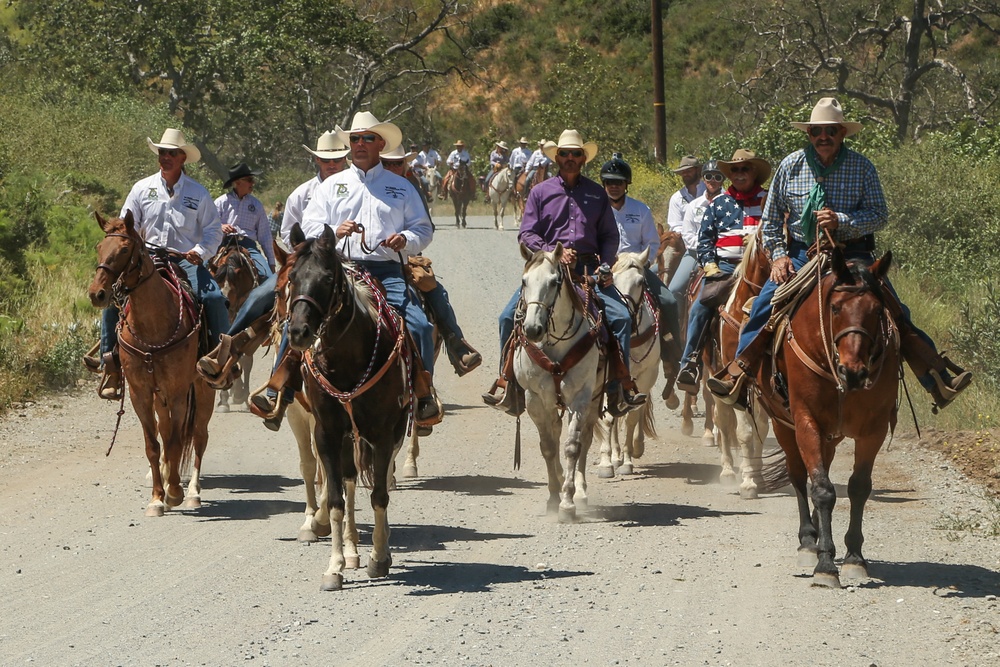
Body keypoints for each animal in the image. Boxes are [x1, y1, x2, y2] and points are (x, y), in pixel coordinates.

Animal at [89, 213, 216, 516]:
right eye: (100, 247)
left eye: (124, 249)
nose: (97, 293)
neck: (153, 326)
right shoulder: (141, 393)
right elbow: (153, 444)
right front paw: (158, 497)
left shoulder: (178, 391)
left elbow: (176, 442)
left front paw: (174, 492)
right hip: (161, 397)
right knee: (167, 431)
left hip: (202, 390)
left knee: (198, 436)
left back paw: (192, 492)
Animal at [286, 223, 410, 588]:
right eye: (292, 276)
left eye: (327, 278)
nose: (299, 331)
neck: (347, 362)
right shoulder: (327, 433)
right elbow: (337, 498)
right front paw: (335, 566)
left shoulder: (383, 434)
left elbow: (380, 494)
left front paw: (379, 558)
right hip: (345, 438)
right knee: (350, 482)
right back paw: (352, 551)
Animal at [516, 243, 600, 524]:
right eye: (524, 281)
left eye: (554, 282)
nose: (532, 329)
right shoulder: (534, 399)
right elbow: (548, 448)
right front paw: (553, 497)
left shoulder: (580, 397)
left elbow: (572, 447)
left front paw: (567, 502)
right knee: (553, 433)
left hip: (593, 400)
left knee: (585, 439)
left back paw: (580, 491)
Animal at [596, 249, 660, 474]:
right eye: (612, 279)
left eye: (640, 281)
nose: (628, 316)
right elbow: (608, 418)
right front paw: (607, 461)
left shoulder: (646, 375)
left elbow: (633, 416)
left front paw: (628, 460)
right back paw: (615, 455)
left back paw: (635, 447)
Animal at [736, 237, 900, 588]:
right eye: (835, 307)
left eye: (877, 310)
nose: (853, 371)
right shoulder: (805, 421)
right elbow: (822, 489)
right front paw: (825, 563)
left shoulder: (874, 429)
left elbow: (859, 487)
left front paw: (854, 558)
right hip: (785, 425)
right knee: (800, 477)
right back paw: (808, 541)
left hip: (831, 435)